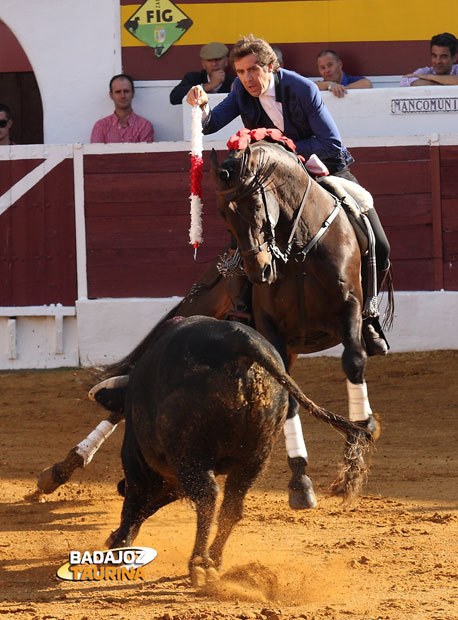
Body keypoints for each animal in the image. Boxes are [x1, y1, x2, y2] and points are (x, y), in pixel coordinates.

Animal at [35, 138, 382, 506]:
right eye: (223, 215)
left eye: (256, 206)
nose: (259, 271)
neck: (300, 247)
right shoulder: (273, 330)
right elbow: (289, 396)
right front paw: (301, 480)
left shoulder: (349, 311)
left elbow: (353, 363)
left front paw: (355, 460)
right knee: (128, 392)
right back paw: (58, 472)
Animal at [88, 318, 368, 584]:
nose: (119, 486)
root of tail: (240, 341)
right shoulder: (173, 478)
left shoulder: (142, 463)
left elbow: (134, 504)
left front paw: (117, 546)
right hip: (255, 457)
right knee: (232, 505)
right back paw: (214, 559)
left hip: (190, 457)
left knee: (207, 496)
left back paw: (198, 564)